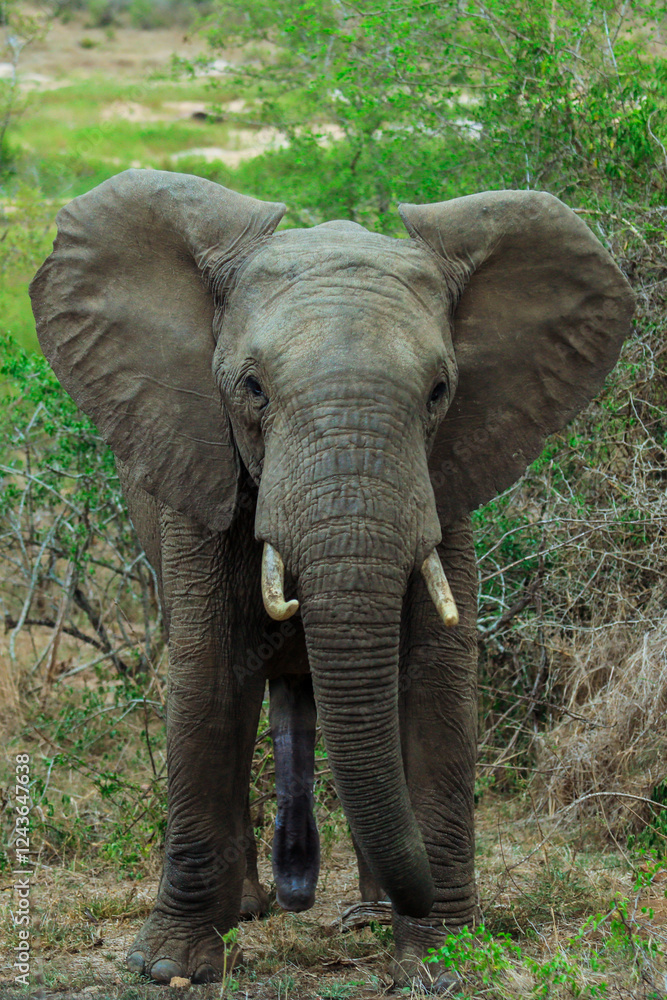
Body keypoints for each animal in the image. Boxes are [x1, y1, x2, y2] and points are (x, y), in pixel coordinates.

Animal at [30, 169, 634, 990]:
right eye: (251, 388)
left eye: (439, 392)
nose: (304, 897)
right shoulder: (200, 473)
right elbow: (208, 674)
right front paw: (168, 968)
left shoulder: (446, 480)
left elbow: (435, 678)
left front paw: (438, 963)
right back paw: (254, 908)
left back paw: (362, 915)